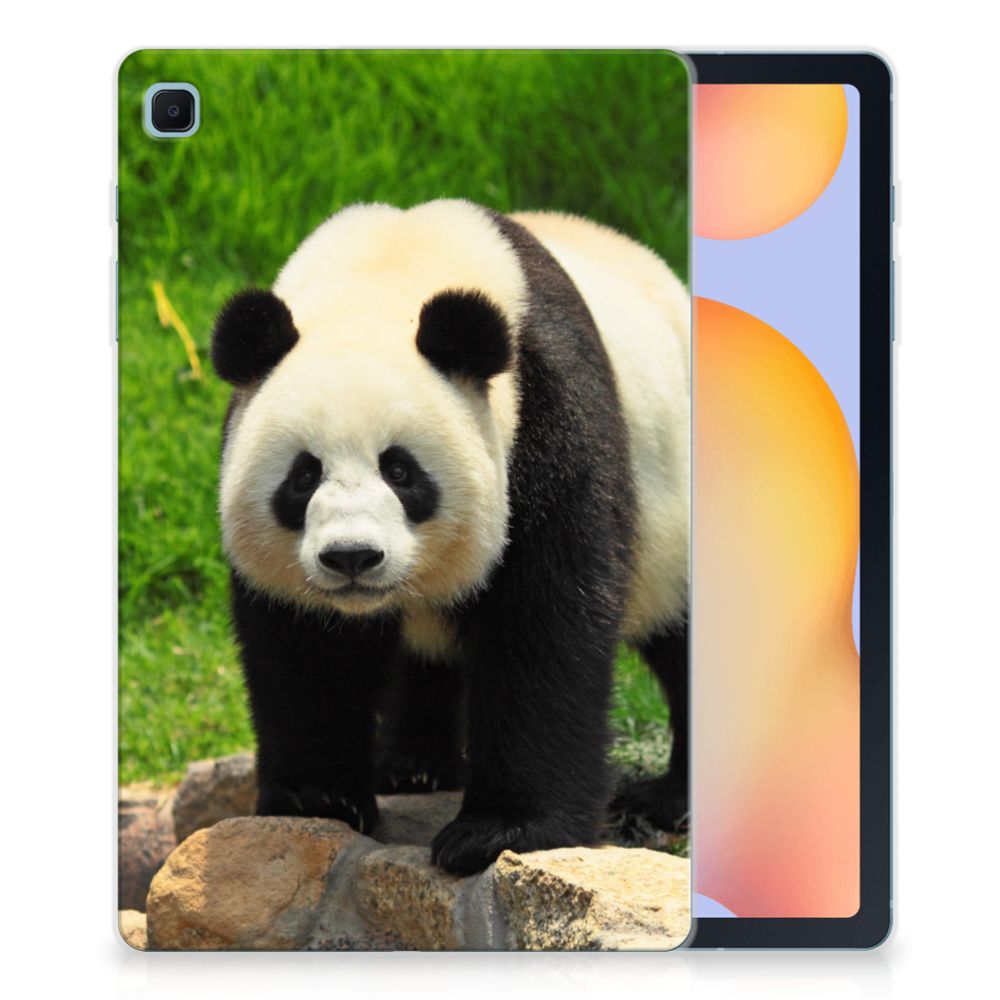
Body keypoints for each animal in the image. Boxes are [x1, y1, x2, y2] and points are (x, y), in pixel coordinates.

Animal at [211, 199, 689, 875]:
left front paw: (500, 831)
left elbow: (543, 622)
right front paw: (317, 797)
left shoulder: (547, 417)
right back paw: (414, 766)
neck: (387, 271)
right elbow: (306, 646)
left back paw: (668, 800)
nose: (352, 557)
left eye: (401, 470)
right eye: (303, 476)